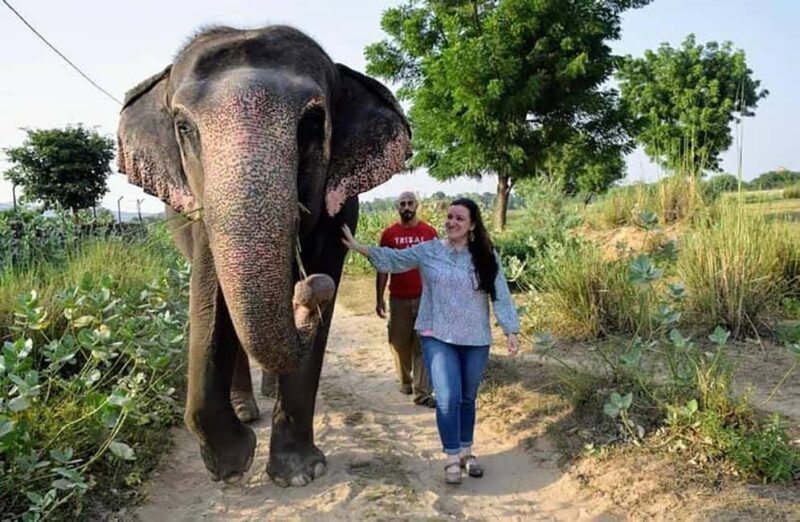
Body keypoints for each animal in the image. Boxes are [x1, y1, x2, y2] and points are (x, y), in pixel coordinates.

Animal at [117, 25, 410, 486]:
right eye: (183, 127)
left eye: (313, 123)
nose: (312, 292)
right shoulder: (199, 207)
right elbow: (210, 298)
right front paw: (232, 466)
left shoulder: (341, 206)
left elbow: (323, 272)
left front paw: (299, 474)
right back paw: (246, 410)